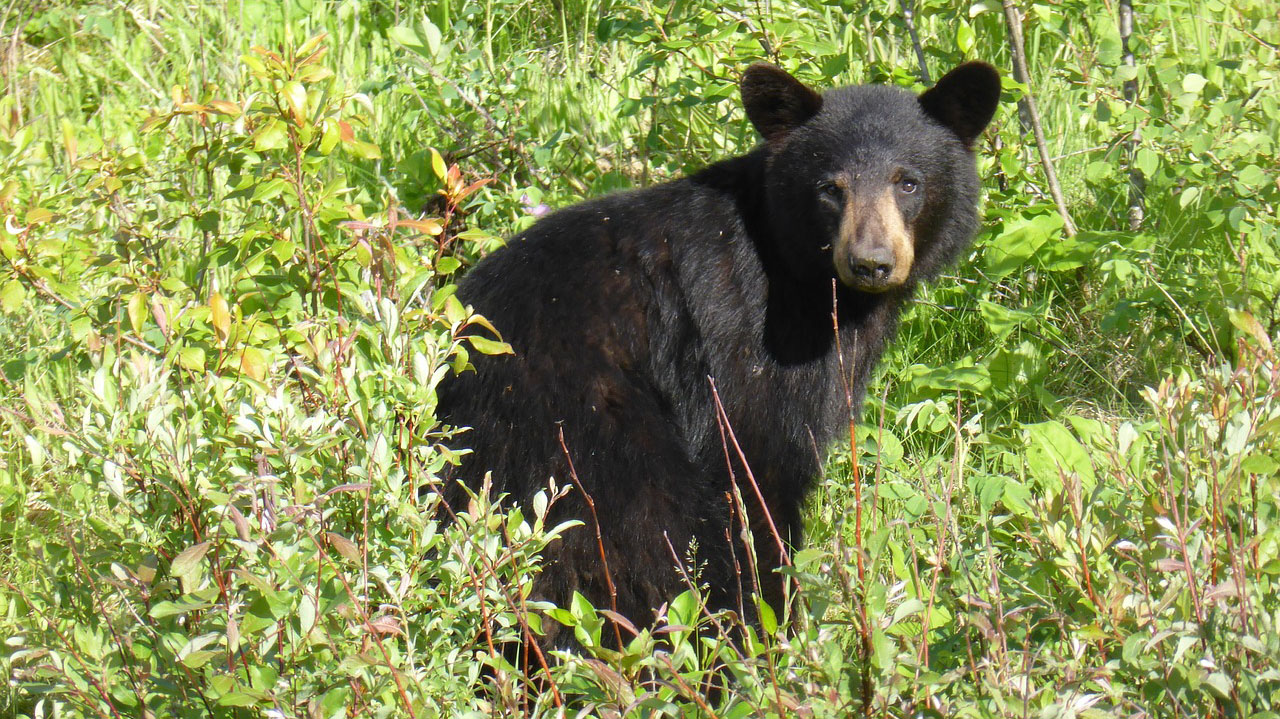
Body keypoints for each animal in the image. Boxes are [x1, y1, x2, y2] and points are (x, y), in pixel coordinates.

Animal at [440, 63, 998, 644]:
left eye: (908, 181)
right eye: (830, 188)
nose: (871, 262)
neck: (800, 276)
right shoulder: (746, 343)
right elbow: (758, 469)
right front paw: (776, 622)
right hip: (587, 439)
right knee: (649, 534)